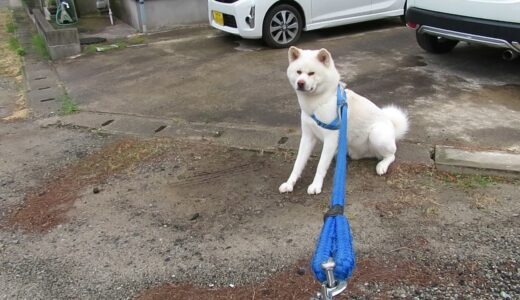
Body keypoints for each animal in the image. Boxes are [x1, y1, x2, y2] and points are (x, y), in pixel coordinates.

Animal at [278, 47, 408, 196]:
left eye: (311, 73)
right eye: (298, 72)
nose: (300, 83)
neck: (319, 102)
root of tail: (392, 127)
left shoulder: (330, 138)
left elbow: (321, 165)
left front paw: (316, 185)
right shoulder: (307, 137)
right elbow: (298, 164)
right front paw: (289, 183)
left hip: (377, 135)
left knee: (391, 155)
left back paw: (382, 165)